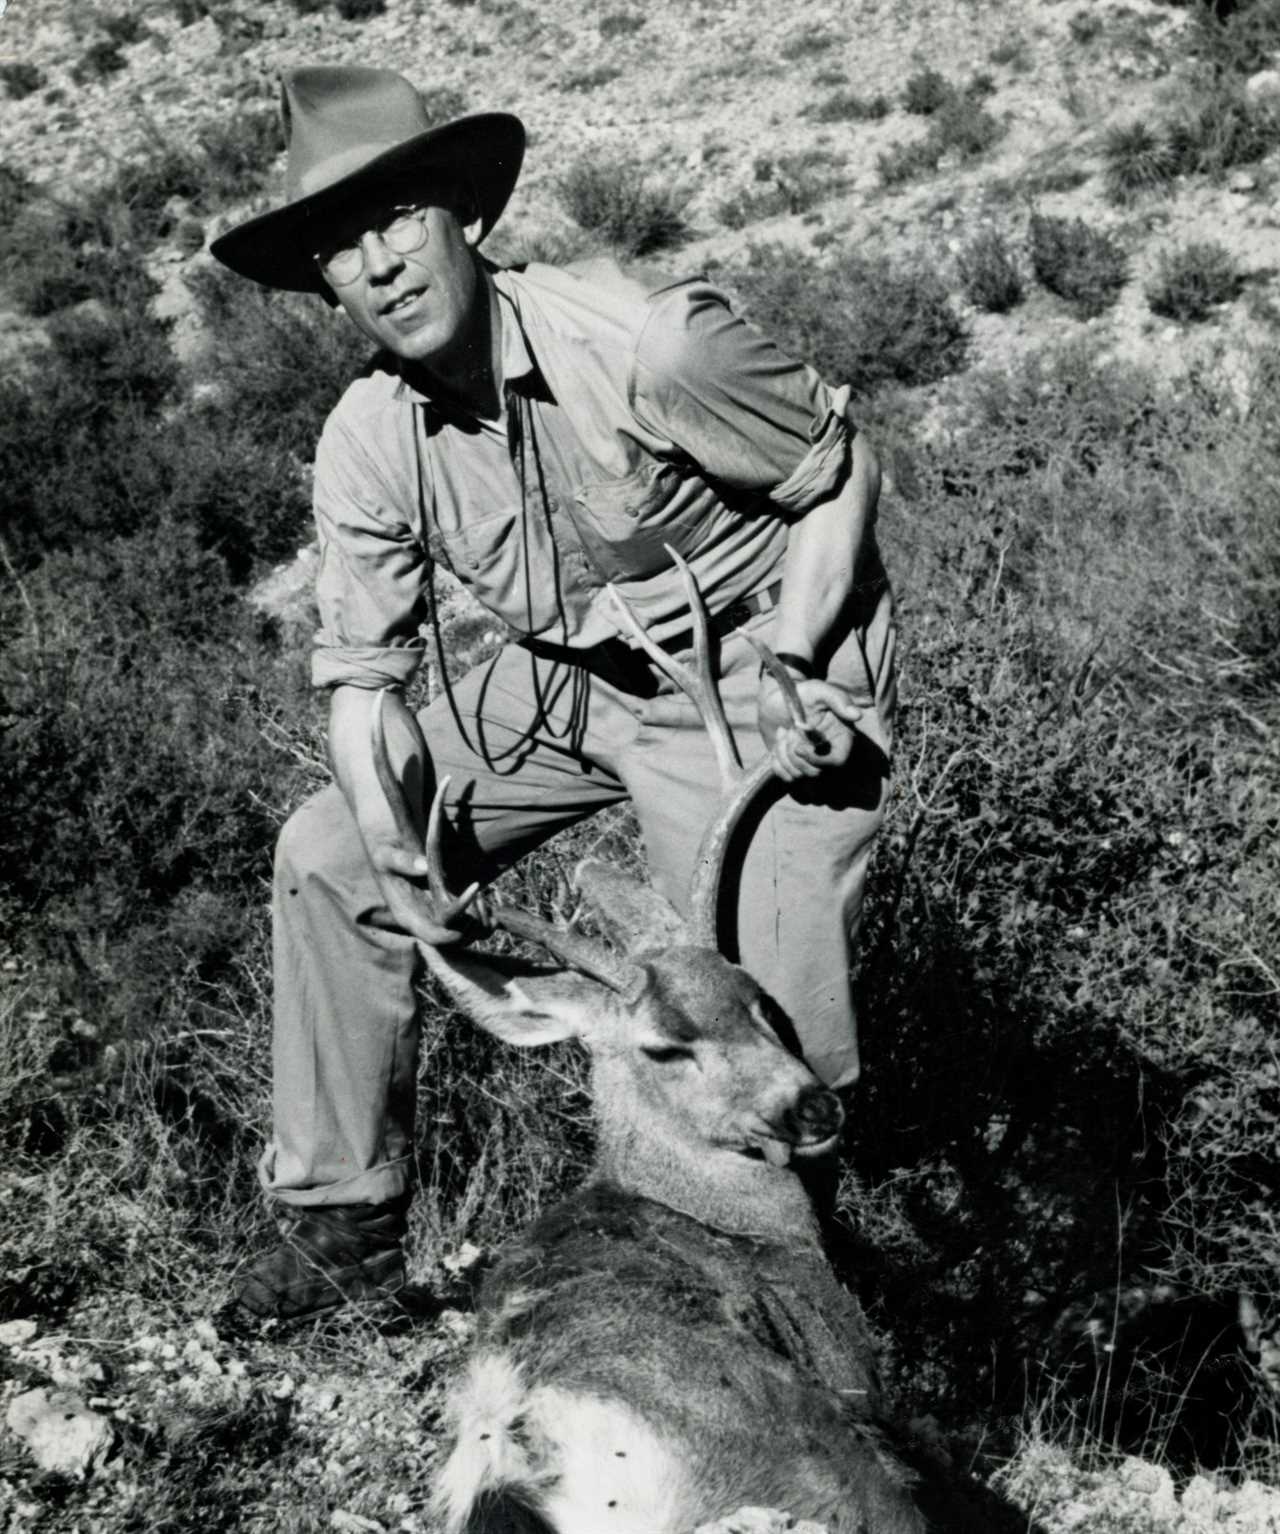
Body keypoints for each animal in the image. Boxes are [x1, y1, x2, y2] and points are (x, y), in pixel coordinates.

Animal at [368, 558, 945, 1527]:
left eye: (757, 1002)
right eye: (664, 1047)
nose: (812, 1105)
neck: (722, 1216)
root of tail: (522, 1449)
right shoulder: (848, 1365)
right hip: (814, 1461)